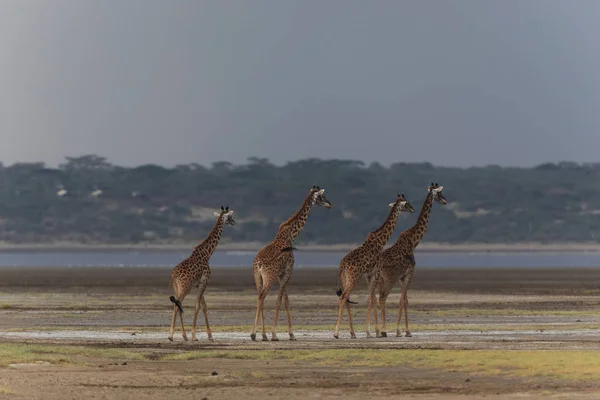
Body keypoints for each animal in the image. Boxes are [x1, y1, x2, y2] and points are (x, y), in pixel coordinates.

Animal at [169, 206, 237, 340]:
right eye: (230, 217)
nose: (233, 222)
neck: (207, 254)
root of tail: (174, 275)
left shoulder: (198, 284)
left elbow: (204, 306)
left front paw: (210, 335)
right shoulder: (205, 281)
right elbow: (197, 306)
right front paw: (194, 335)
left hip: (177, 286)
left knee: (177, 304)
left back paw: (181, 335)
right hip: (185, 286)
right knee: (177, 304)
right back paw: (172, 335)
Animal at [250, 187, 332, 340]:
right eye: (322, 197)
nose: (330, 204)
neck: (291, 235)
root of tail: (258, 263)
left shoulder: (281, 274)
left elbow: (286, 301)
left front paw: (291, 334)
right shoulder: (289, 270)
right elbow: (279, 300)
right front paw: (275, 334)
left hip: (258, 277)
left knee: (259, 297)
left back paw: (261, 335)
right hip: (269, 277)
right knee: (262, 296)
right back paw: (255, 334)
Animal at [330, 194, 414, 338]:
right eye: (406, 203)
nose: (413, 209)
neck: (380, 242)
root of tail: (343, 265)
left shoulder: (369, 275)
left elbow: (371, 298)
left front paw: (375, 331)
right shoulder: (375, 272)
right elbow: (372, 298)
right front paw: (371, 331)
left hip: (345, 278)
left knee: (346, 298)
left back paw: (352, 333)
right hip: (354, 277)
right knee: (343, 297)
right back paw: (336, 333)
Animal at [372, 184, 448, 338]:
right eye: (439, 193)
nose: (445, 201)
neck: (414, 241)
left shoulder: (402, 277)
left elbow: (404, 300)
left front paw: (401, 330)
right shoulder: (409, 273)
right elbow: (403, 301)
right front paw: (403, 331)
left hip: (379, 279)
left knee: (375, 297)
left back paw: (376, 331)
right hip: (389, 279)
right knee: (382, 297)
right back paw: (383, 331)